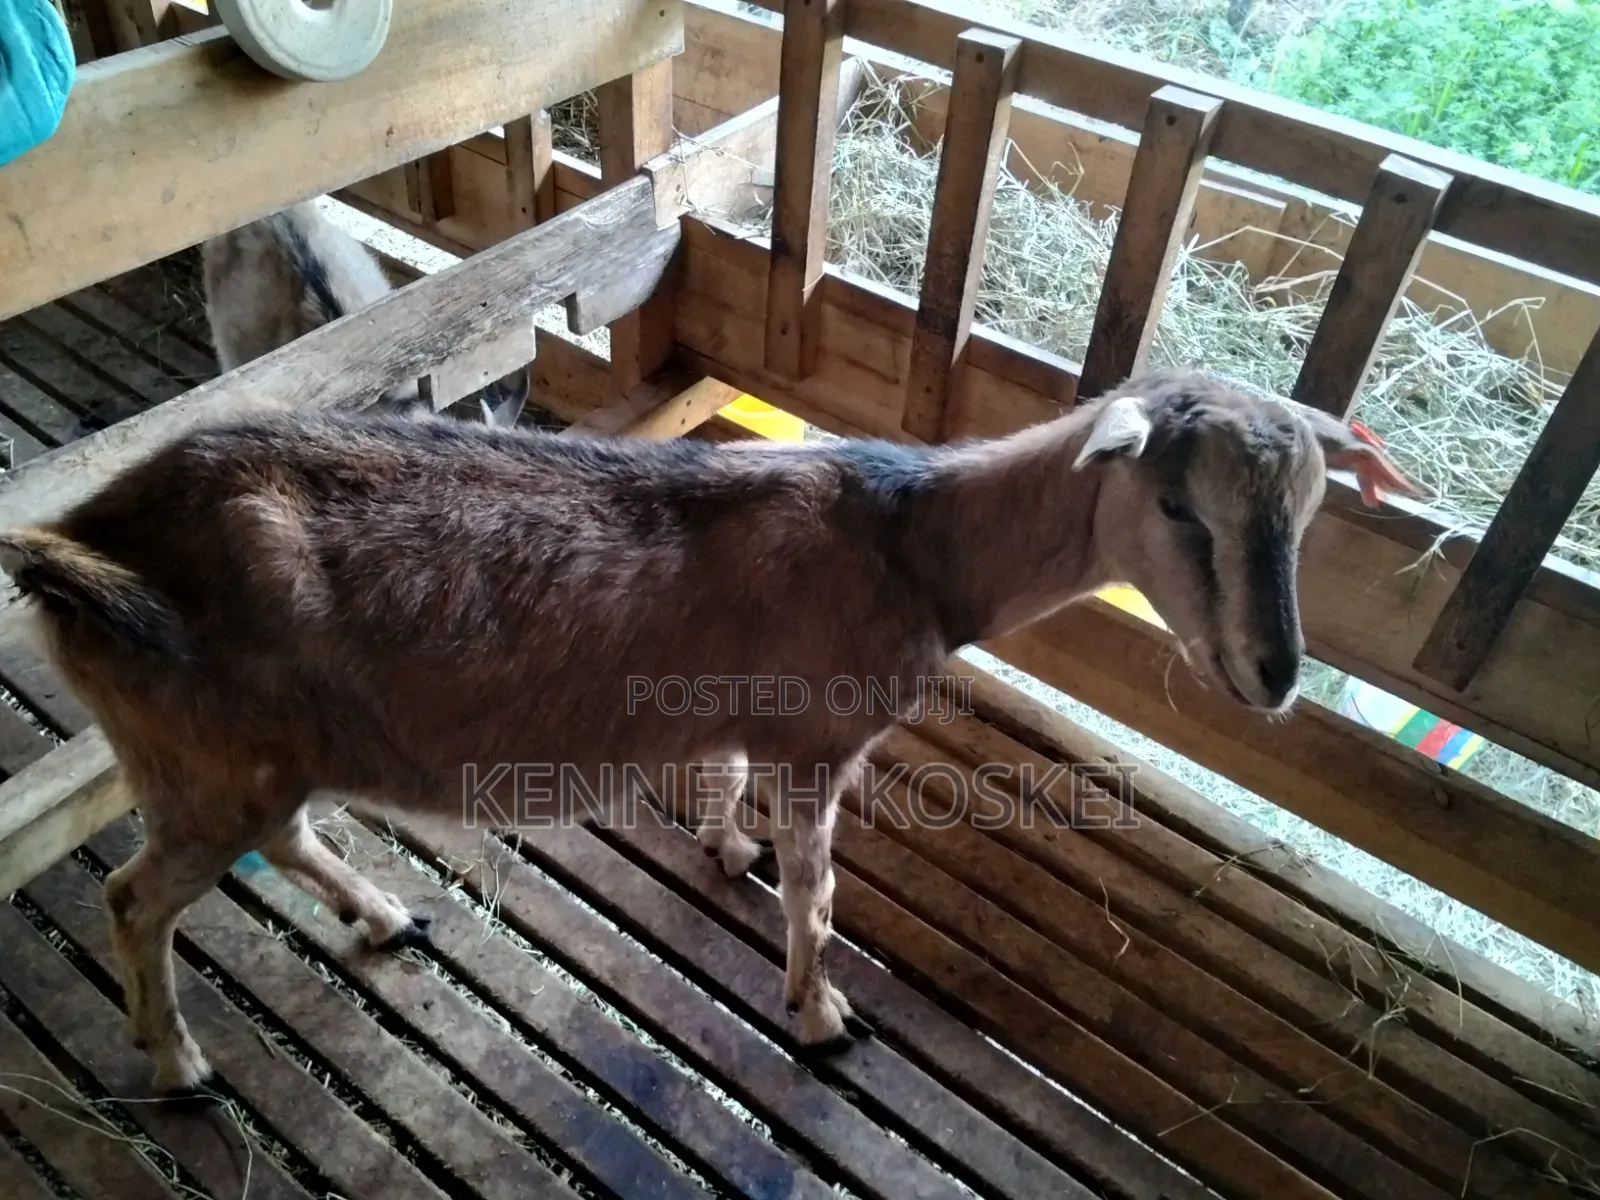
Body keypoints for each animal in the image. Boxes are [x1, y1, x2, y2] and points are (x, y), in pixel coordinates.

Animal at [0, 368, 1422, 1093]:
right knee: (134, 899)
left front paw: (726, 851)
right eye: (1179, 507)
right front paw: (818, 1012)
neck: (916, 549)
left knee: (283, 840)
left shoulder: (755, 722)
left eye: (1309, 511)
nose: (1275, 672)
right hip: (202, 758)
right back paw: (178, 1058)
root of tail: (82, 548)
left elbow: (732, 795)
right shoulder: (821, 738)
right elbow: (819, 887)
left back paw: (382, 914)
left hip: (244, 753)